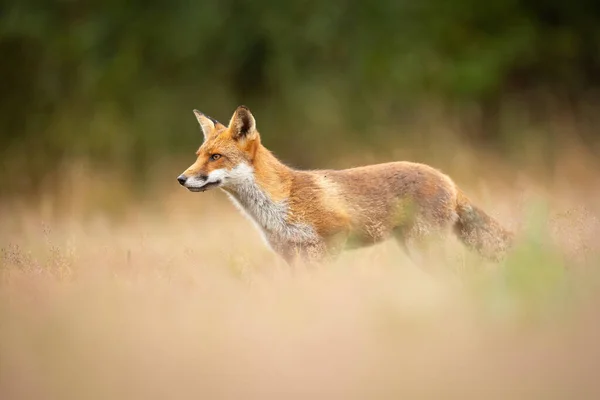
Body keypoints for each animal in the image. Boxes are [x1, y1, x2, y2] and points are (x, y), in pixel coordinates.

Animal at [176, 104, 512, 264]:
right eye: (199, 156)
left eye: (216, 157)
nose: (181, 179)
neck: (276, 209)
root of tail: (448, 178)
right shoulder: (290, 257)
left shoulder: (332, 240)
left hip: (424, 246)